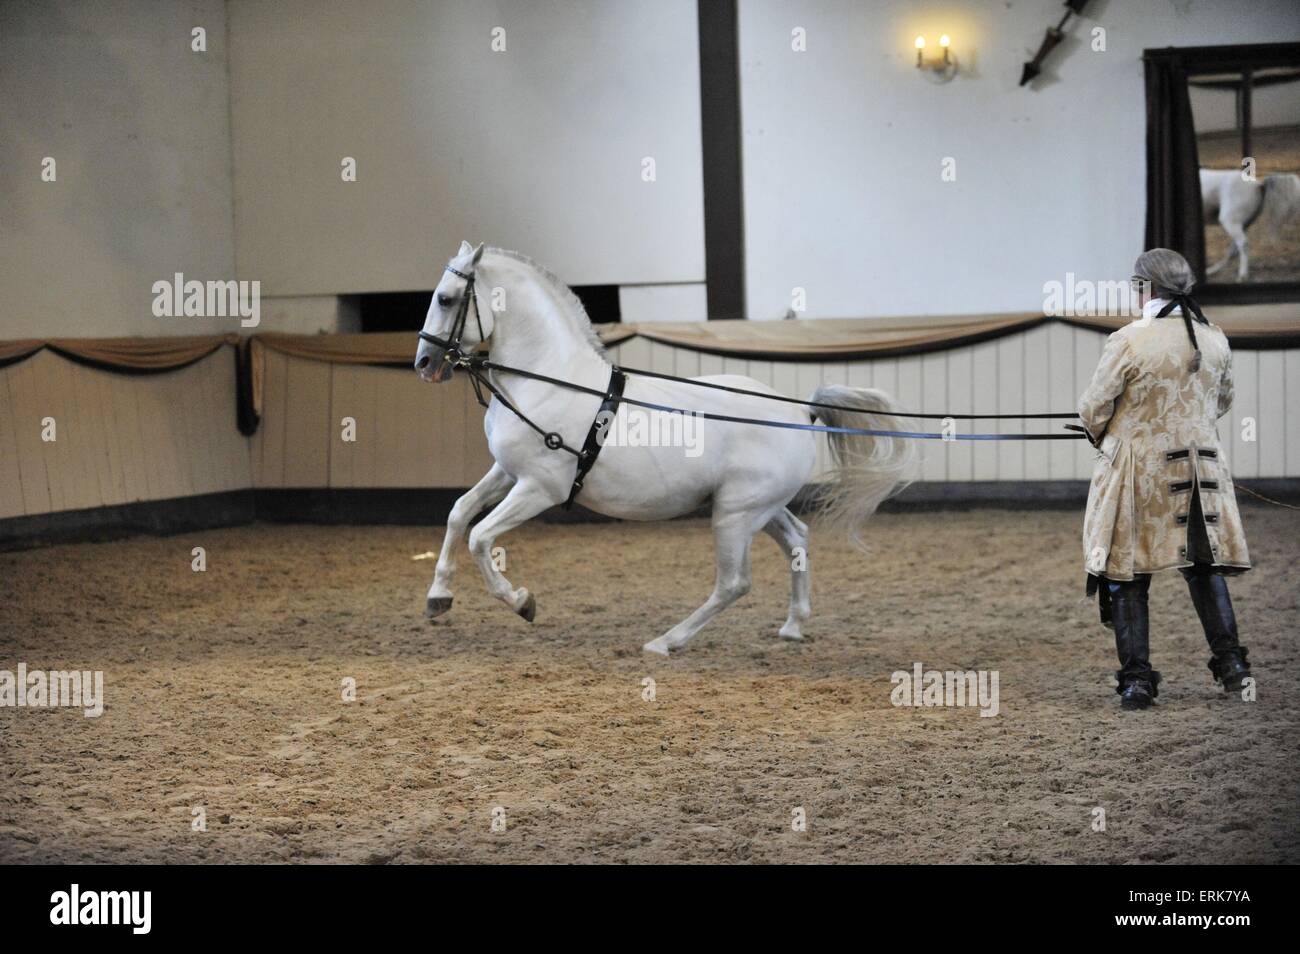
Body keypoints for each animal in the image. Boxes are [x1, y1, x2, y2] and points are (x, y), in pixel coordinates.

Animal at [416, 240, 915, 657]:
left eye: (446, 299)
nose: (424, 363)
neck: (549, 379)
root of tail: (800, 413)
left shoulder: (539, 488)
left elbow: (481, 537)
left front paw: (521, 602)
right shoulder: (507, 472)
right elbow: (459, 513)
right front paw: (438, 597)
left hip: (735, 515)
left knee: (734, 583)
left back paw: (666, 642)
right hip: (759, 508)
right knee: (797, 538)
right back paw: (792, 627)